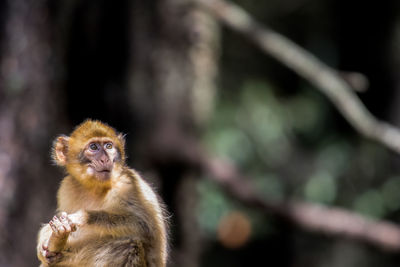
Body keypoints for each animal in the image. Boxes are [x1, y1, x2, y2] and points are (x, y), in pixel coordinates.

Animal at [36, 120, 168, 266]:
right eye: (93, 147)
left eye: (109, 146)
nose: (105, 159)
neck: (95, 188)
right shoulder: (67, 187)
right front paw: (43, 245)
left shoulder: (126, 185)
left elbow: (143, 227)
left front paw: (82, 217)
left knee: (128, 245)